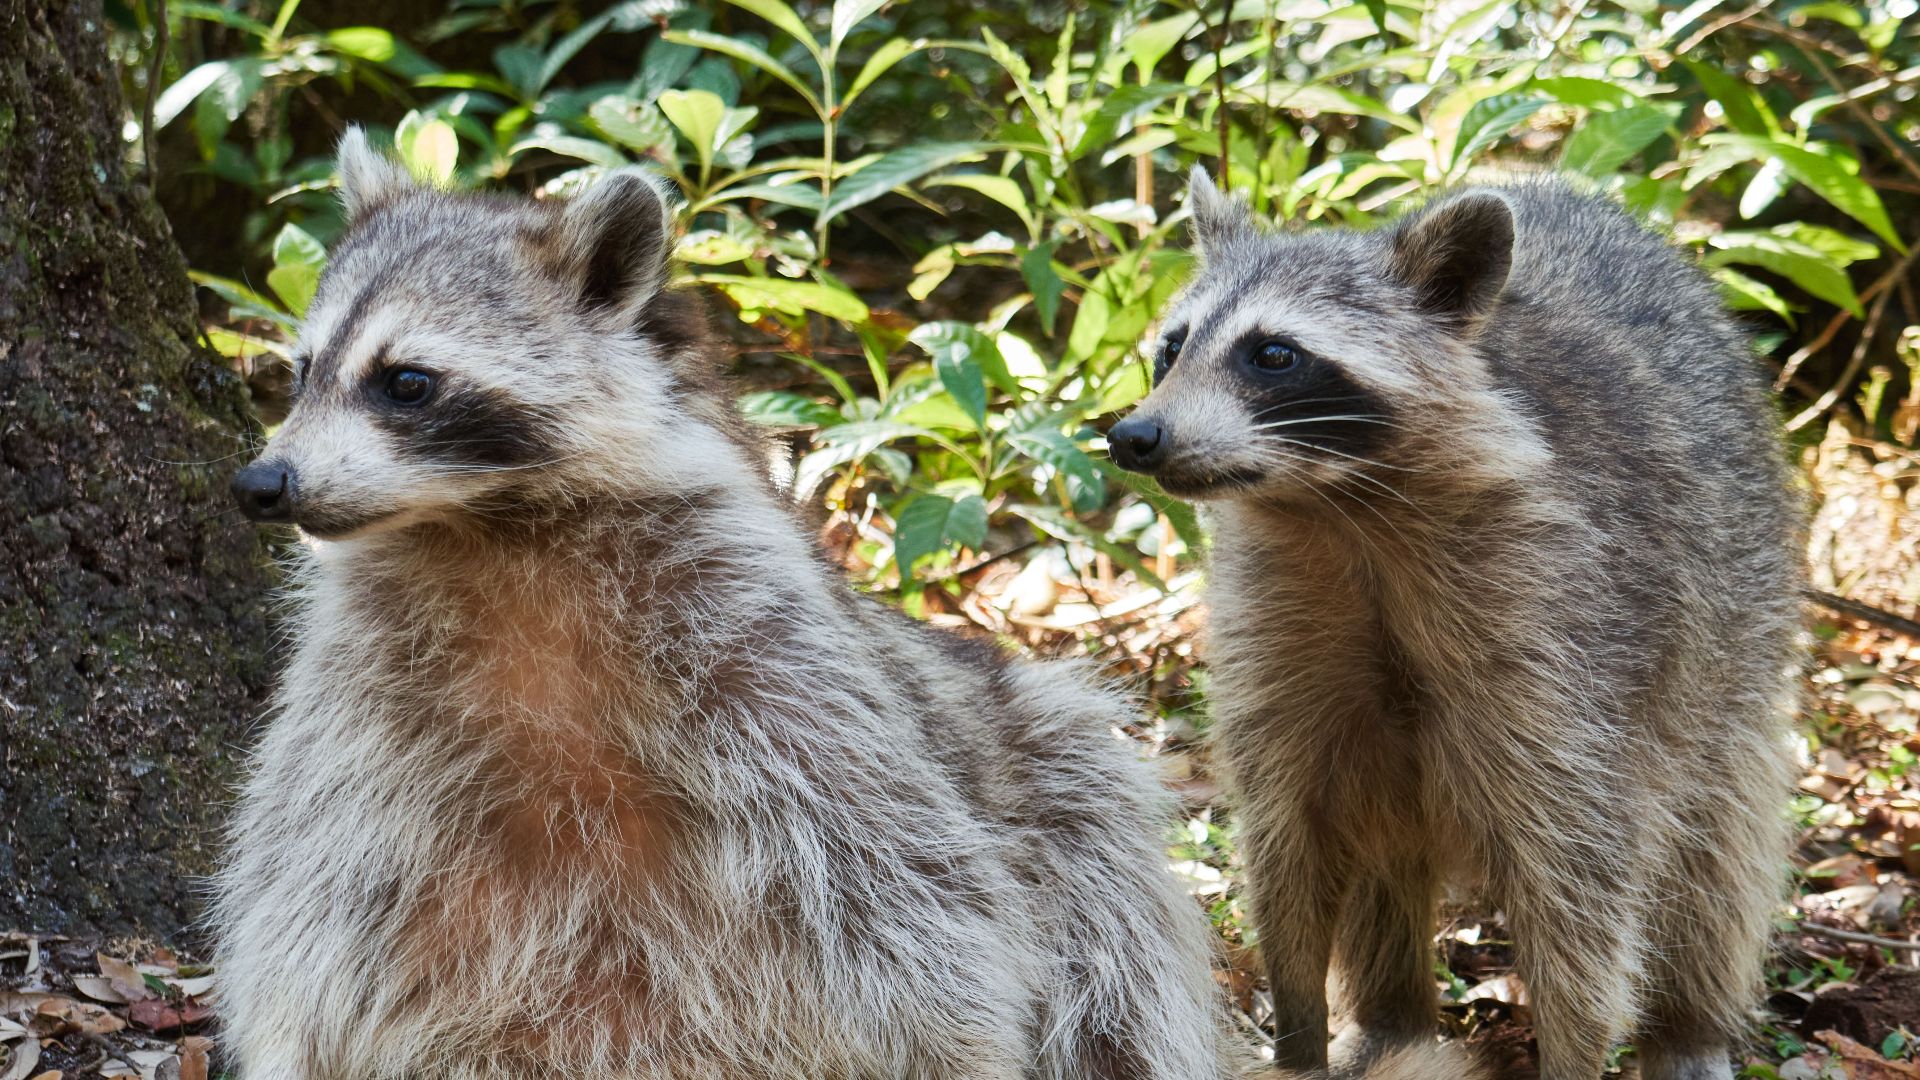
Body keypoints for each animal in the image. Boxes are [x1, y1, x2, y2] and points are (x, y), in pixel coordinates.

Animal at [212, 129, 1242, 1080]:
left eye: (406, 382)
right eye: (301, 371)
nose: (262, 484)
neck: (489, 526)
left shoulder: (765, 640)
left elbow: (909, 887)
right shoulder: (361, 705)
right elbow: (311, 904)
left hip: (1040, 750)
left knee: (1111, 913)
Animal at [1109, 171, 1803, 1080]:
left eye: (1274, 354)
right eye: (1171, 348)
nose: (1133, 435)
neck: (1344, 510)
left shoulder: (1572, 640)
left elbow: (1579, 884)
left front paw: (1572, 1057)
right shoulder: (1268, 628)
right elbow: (1289, 844)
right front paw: (1299, 1033)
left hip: (1734, 628)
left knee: (1715, 855)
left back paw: (1690, 1027)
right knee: (1377, 843)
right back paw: (1390, 1017)